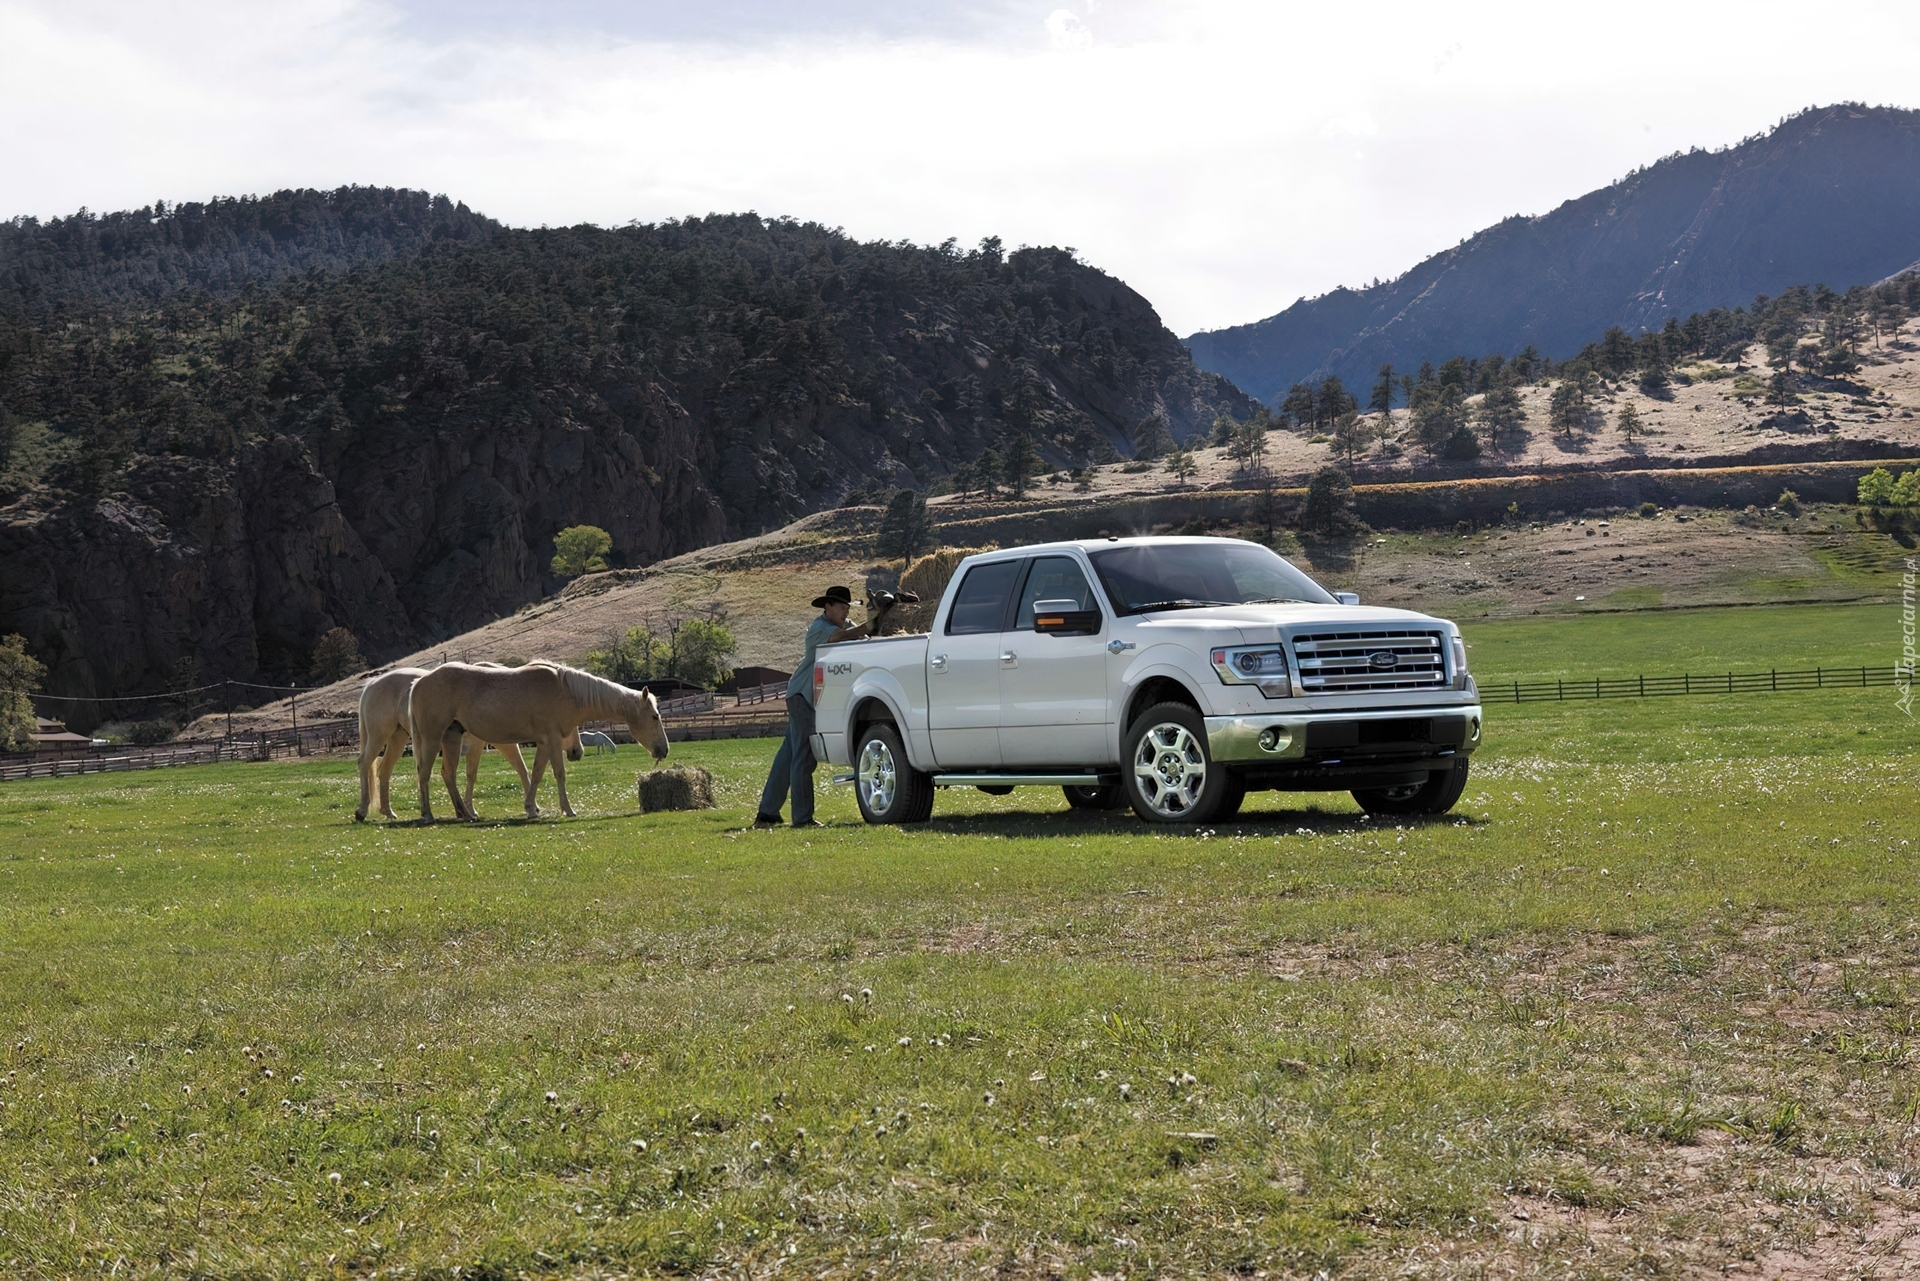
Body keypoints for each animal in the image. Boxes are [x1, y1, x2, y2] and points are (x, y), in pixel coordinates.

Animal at [351, 668, 576, 825]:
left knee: (384, 771)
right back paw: (362, 811)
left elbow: (519, 769)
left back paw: (388, 812)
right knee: (364, 763)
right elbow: (480, 773)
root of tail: (371, 684)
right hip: (380, 736)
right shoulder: (488, 743)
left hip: (397, 739)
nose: (576, 752)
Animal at [408, 660, 672, 821]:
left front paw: (531, 808)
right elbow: (558, 774)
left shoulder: (545, 742)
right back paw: (428, 814)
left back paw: (465, 813)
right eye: (655, 716)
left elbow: (535, 774)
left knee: (448, 774)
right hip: (433, 738)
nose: (664, 750)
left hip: (451, 738)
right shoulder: (552, 740)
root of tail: (418, 682)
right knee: (424, 774)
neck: (565, 691)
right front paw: (568, 810)